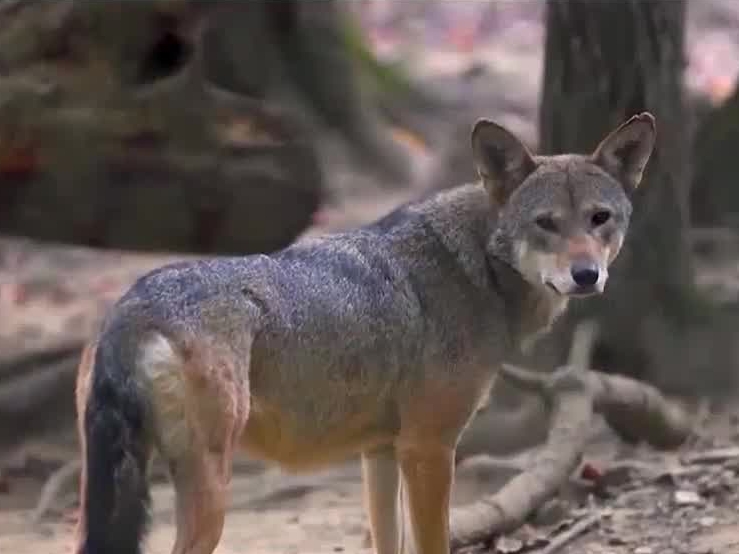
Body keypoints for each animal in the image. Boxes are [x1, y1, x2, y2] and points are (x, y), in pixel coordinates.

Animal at [73, 112, 655, 554]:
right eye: (546, 223)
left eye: (600, 218)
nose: (586, 275)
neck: (476, 269)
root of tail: (132, 308)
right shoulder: (428, 449)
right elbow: (432, 545)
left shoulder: (379, 454)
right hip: (211, 490)